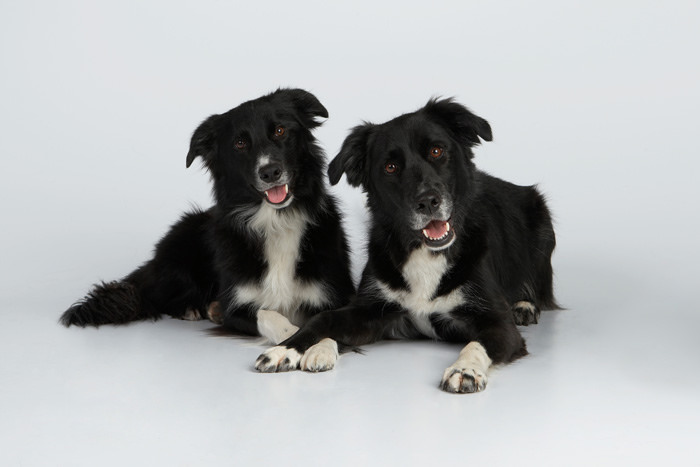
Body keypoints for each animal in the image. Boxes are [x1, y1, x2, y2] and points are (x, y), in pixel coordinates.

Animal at [61, 88, 356, 354]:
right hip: (181, 250)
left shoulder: (333, 294)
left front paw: (319, 348)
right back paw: (194, 308)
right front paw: (292, 335)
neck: (276, 220)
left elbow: (324, 322)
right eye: (240, 144)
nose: (270, 171)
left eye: (280, 131)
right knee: (157, 296)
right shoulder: (236, 306)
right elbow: (268, 315)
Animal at [256, 99, 556, 394]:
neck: (425, 252)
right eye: (390, 167)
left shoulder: (498, 323)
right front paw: (287, 348)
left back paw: (525, 305)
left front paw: (464, 369)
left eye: (436, 150)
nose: (428, 202)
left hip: (542, 221)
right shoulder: (371, 309)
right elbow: (323, 319)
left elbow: (477, 344)